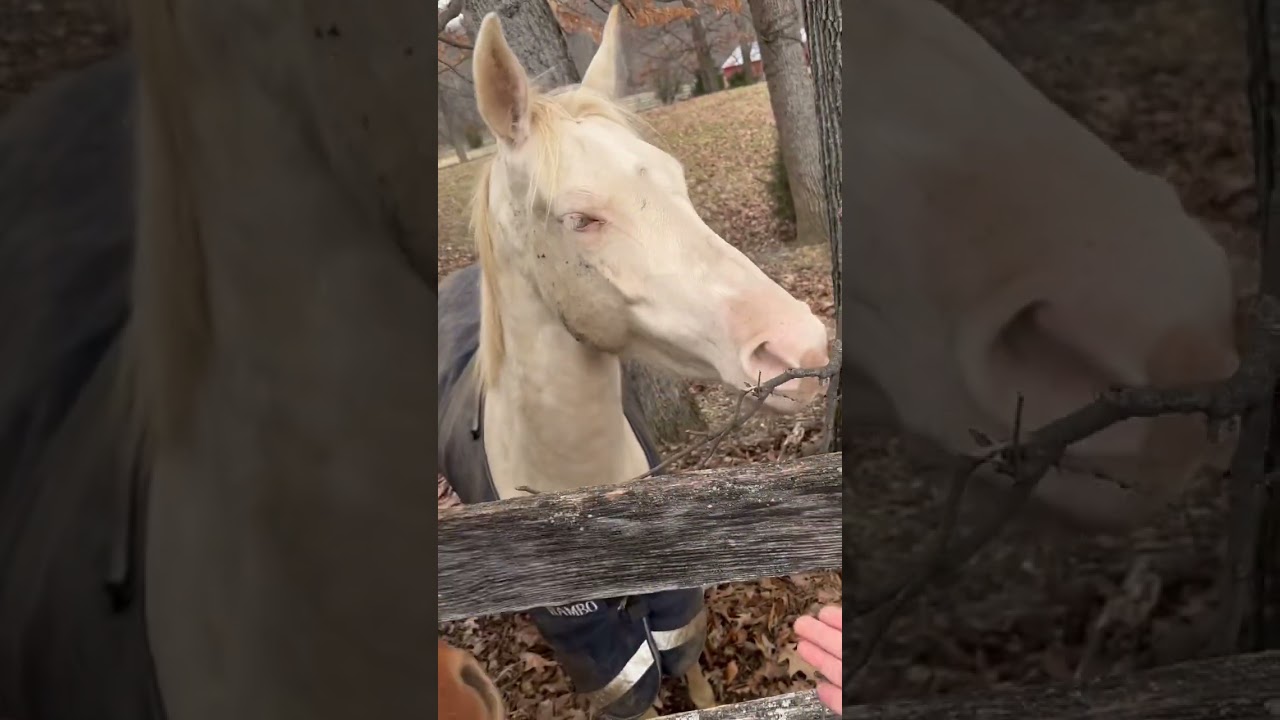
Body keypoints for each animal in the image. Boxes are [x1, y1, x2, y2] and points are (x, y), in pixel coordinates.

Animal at [437, 8, 832, 720]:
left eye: (676, 181)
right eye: (581, 218)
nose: (799, 344)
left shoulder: (674, 601)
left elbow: (693, 673)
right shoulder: (600, 653)